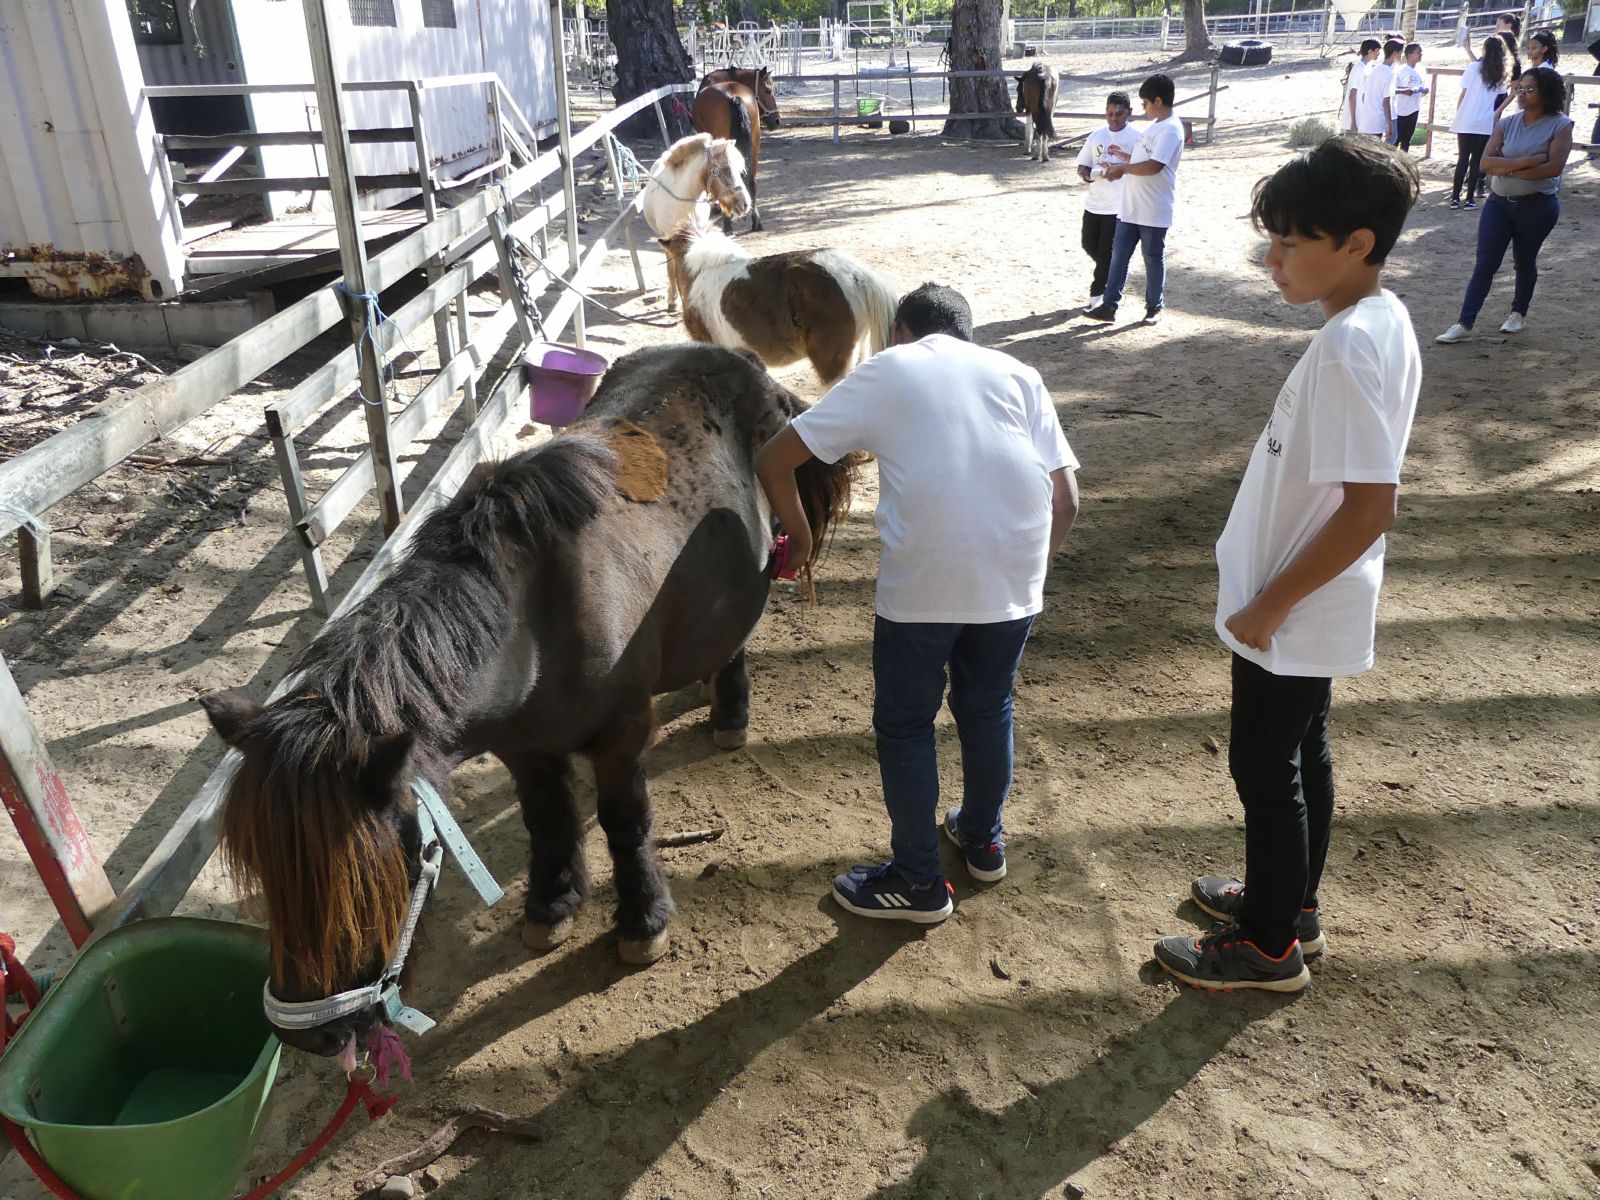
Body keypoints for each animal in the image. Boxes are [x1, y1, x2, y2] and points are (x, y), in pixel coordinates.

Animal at [206, 340, 857, 1062]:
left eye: (370, 871)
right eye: (262, 869)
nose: (310, 1034)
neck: (534, 621)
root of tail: (733, 357)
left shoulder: (621, 734)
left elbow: (625, 824)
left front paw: (642, 922)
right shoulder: (524, 748)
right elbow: (548, 822)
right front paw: (553, 906)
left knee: (737, 634)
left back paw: (730, 712)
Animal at [643, 132, 748, 310]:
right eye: (726, 170)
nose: (745, 204)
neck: (684, 202)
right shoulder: (667, 239)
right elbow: (671, 269)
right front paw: (673, 300)